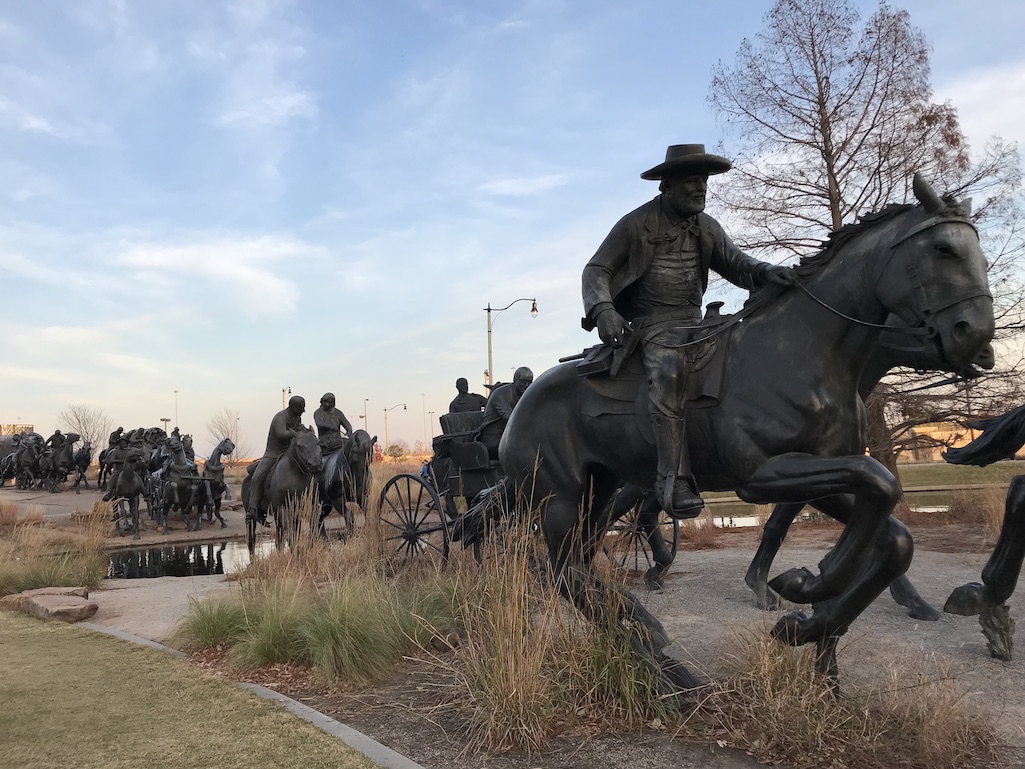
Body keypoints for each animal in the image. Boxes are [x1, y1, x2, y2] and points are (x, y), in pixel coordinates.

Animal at [496, 177, 992, 697]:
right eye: (942, 249)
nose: (977, 338)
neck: (801, 352)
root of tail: (524, 402)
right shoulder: (762, 475)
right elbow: (877, 482)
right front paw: (809, 584)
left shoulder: (823, 473)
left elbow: (894, 532)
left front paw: (810, 629)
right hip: (561, 497)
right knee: (563, 573)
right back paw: (664, 668)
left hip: (599, 488)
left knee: (577, 565)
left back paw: (648, 631)